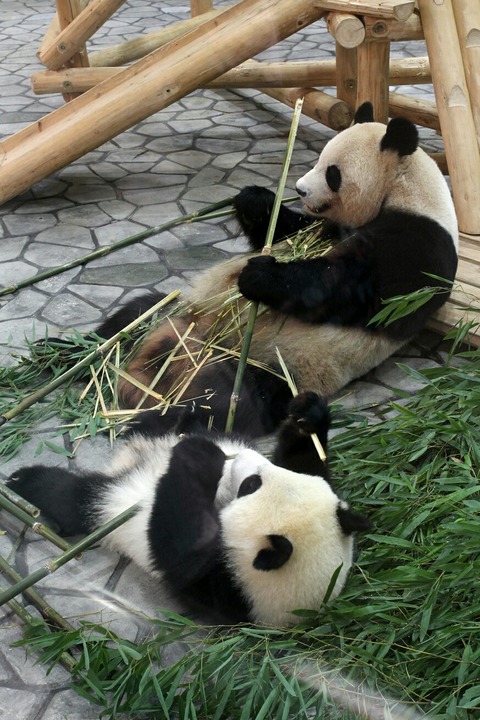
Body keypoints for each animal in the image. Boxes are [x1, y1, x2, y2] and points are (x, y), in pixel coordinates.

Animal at [7, 390, 372, 628]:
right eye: (260, 477)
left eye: (251, 485)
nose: (241, 456)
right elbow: (308, 461)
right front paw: (308, 414)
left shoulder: (215, 587)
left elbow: (174, 542)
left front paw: (198, 459)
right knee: (167, 425)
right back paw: (177, 416)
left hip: (112, 501)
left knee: (73, 497)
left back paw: (23, 481)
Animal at [62, 101, 458, 436]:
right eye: (318, 159)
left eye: (332, 173)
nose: (299, 189)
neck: (407, 190)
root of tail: (143, 374)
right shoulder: (324, 226)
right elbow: (287, 229)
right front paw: (254, 199)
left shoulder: (418, 247)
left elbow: (344, 288)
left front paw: (259, 276)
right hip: (177, 312)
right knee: (132, 315)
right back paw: (69, 355)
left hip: (277, 366)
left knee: (231, 402)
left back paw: (157, 419)